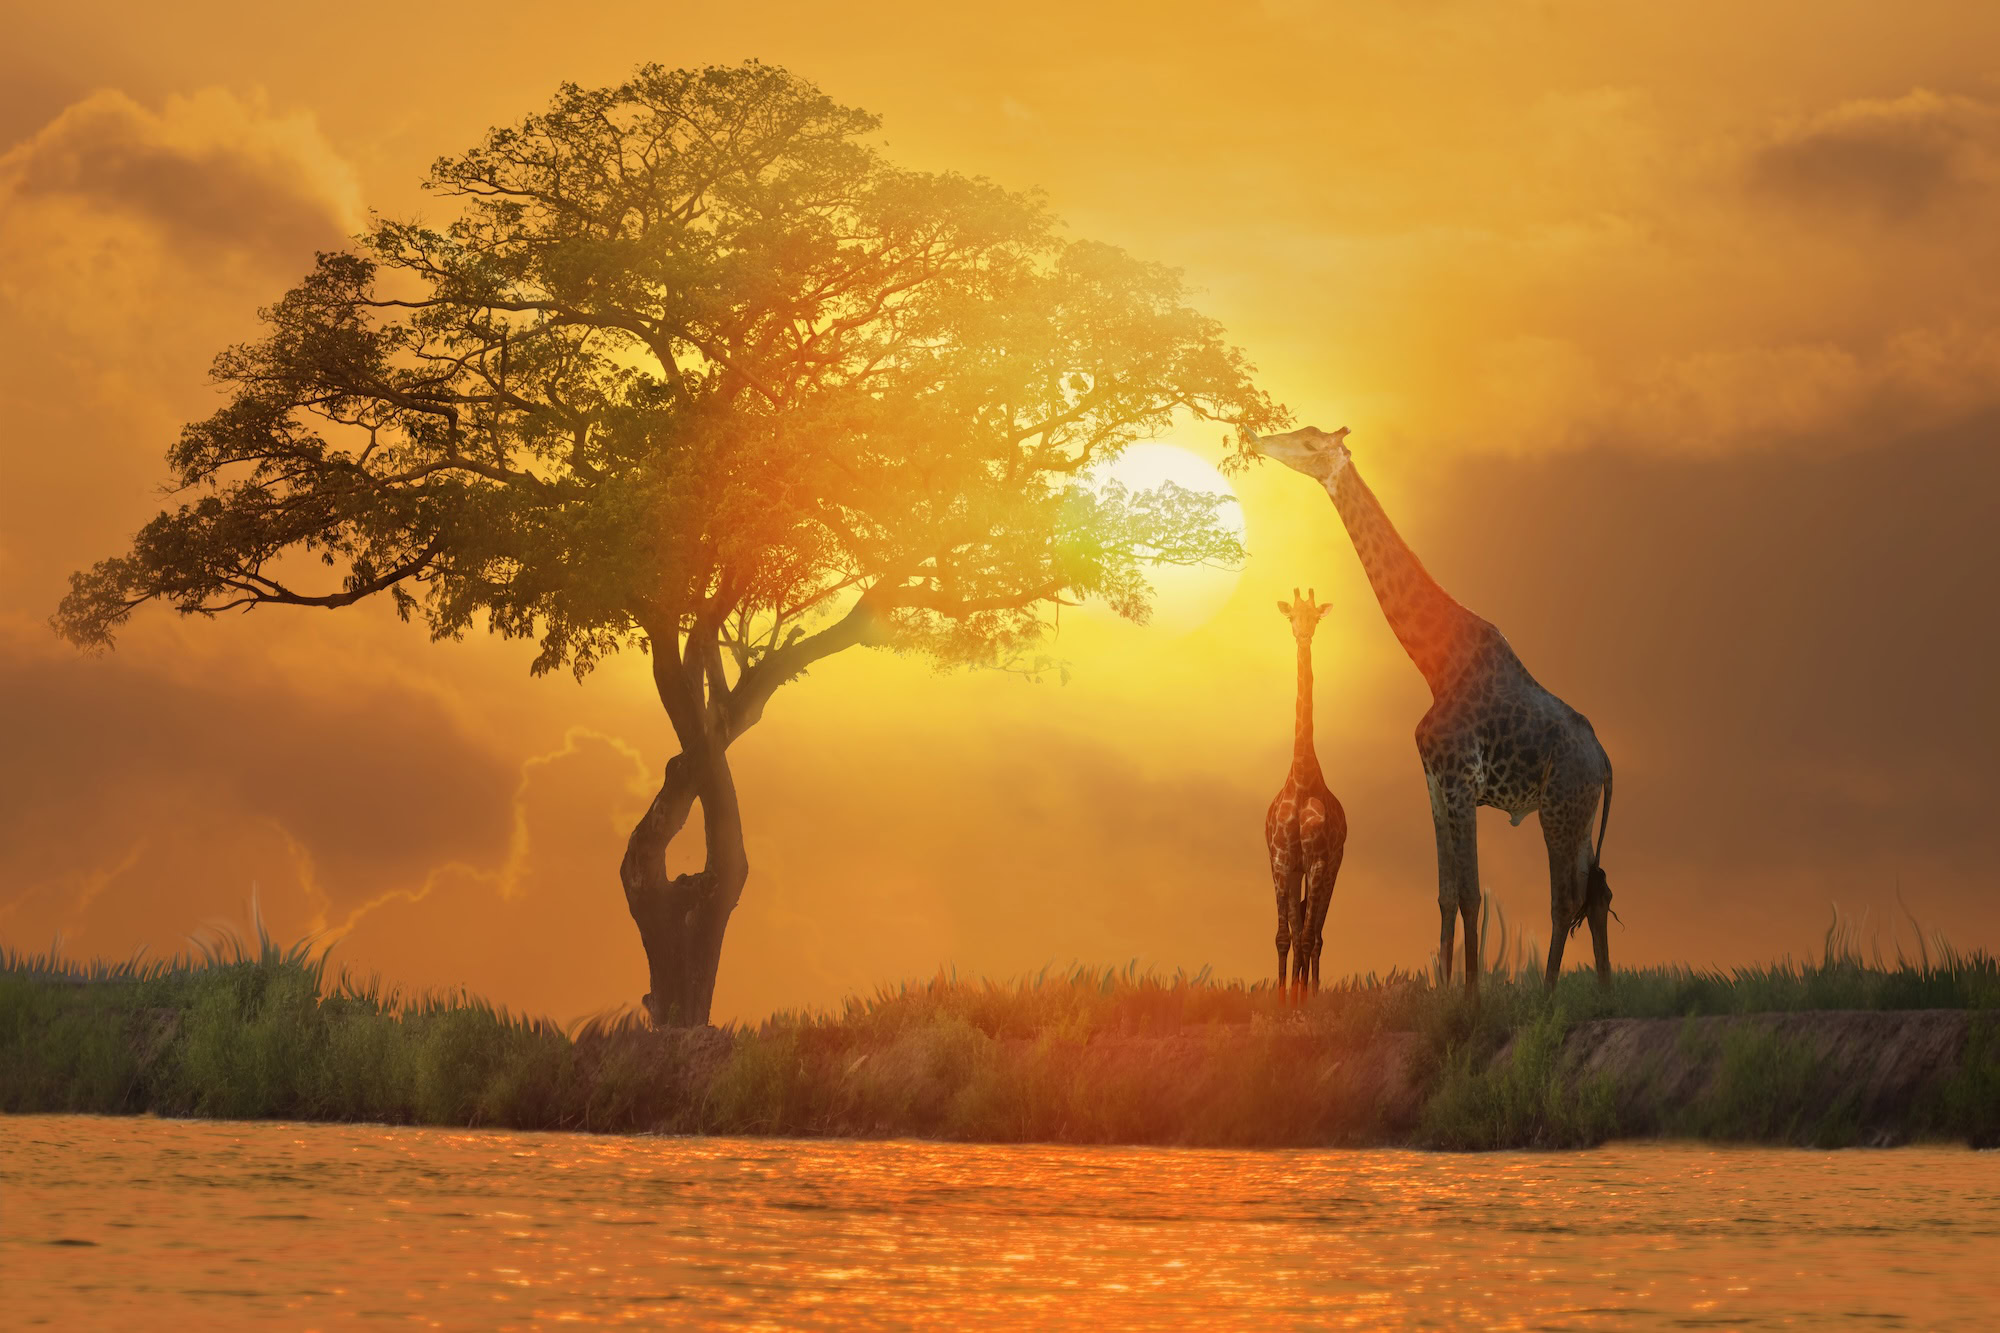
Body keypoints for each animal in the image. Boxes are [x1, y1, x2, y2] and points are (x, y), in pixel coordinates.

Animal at [1245, 426, 1614, 997]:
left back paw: (1550, 995)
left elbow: (1471, 893)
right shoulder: (1436, 784)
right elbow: (1445, 894)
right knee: (1594, 892)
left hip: (1561, 805)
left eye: (1309, 442)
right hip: (1581, 811)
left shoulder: (1461, 779)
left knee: (1565, 899)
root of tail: (1605, 762)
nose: (1258, 440)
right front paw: (1442, 991)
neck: (1433, 663)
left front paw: (1471, 997)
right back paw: (1602, 992)